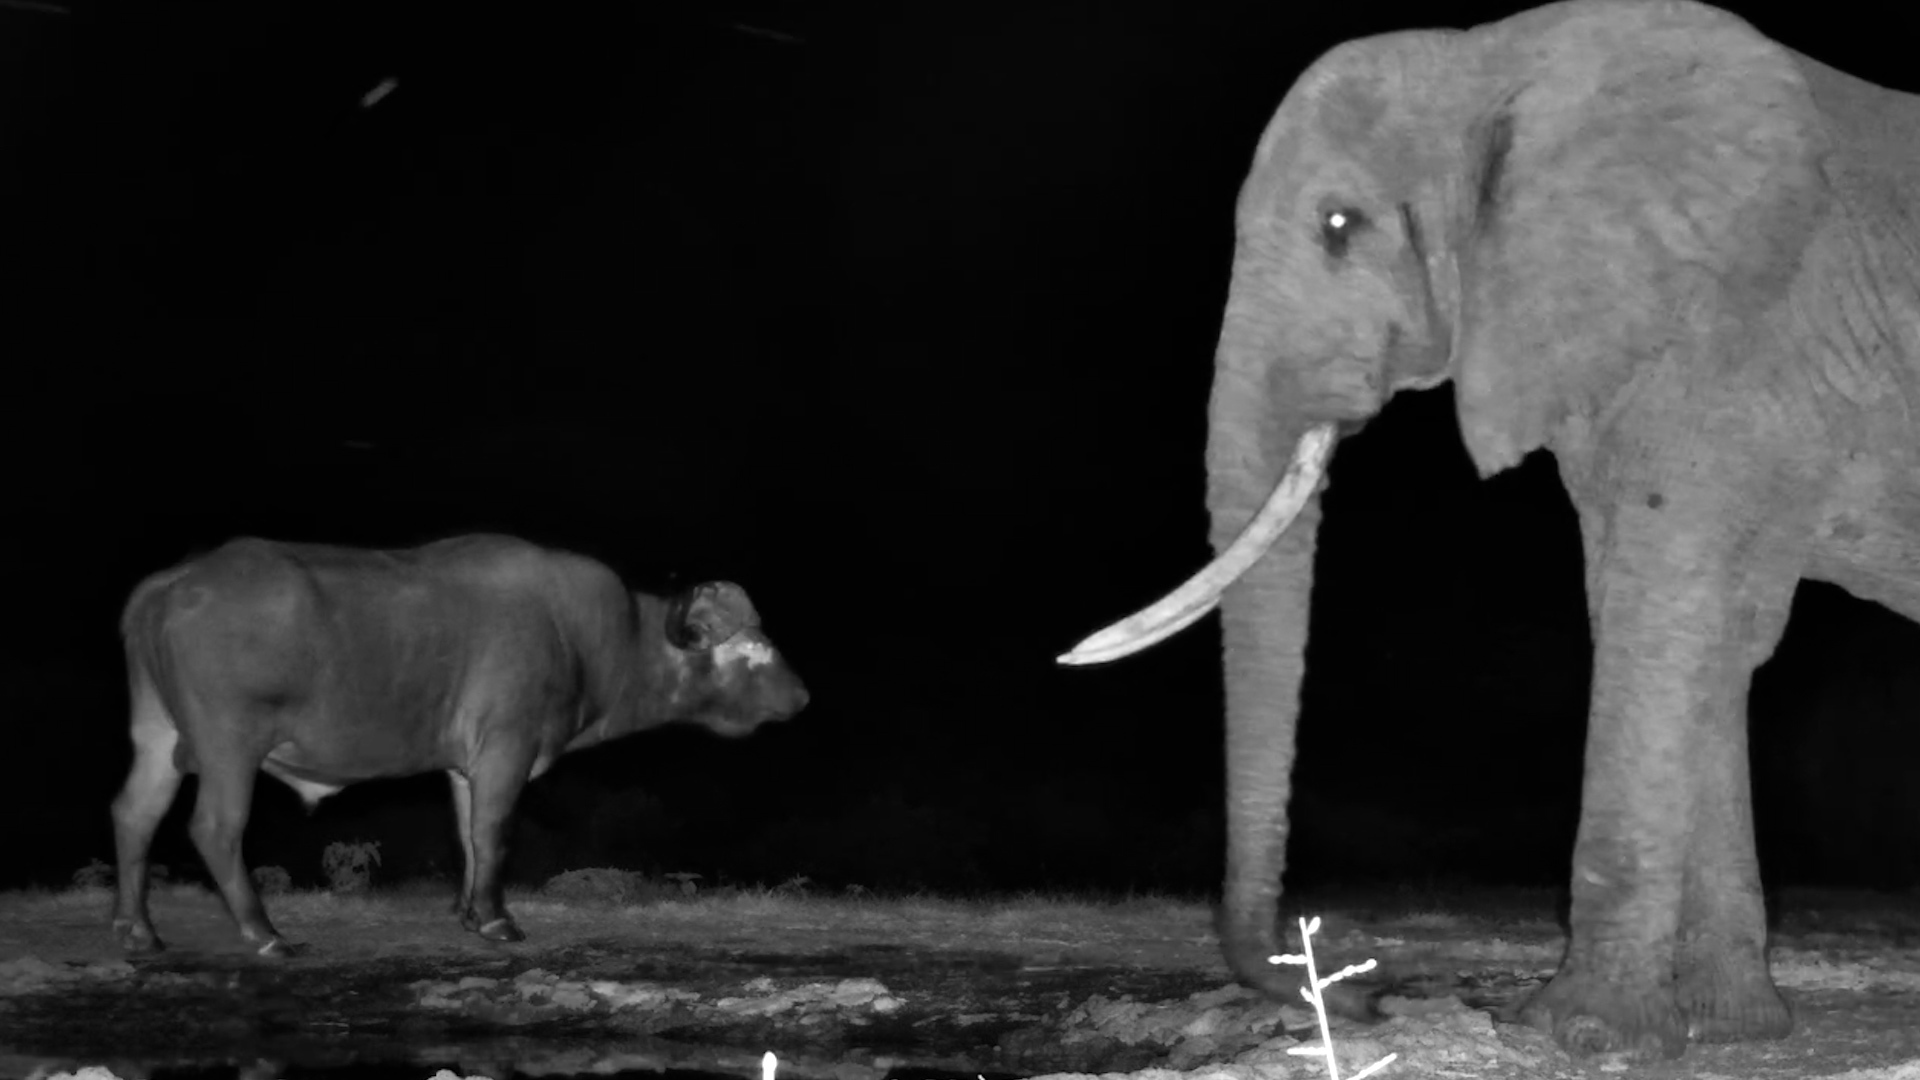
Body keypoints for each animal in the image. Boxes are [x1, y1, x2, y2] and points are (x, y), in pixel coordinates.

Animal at [110, 534, 809, 955]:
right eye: (752, 650)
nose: (802, 696)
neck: (591, 638)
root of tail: (173, 582)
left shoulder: (467, 766)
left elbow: (470, 835)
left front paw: (473, 913)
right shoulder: (507, 747)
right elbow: (493, 832)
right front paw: (499, 919)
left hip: (158, 737)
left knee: (134, 815)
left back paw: (137, 928)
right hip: (230, 745)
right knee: (216, 828)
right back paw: (264, 932)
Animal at [1060, 0, 1920, 1061]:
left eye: (1339, 226)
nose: (1365, 999)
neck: (1486, 60)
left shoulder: (1735, 342)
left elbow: (1659, 624)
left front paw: (1583, 1034)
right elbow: (1701, 638)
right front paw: (1729, 1030)